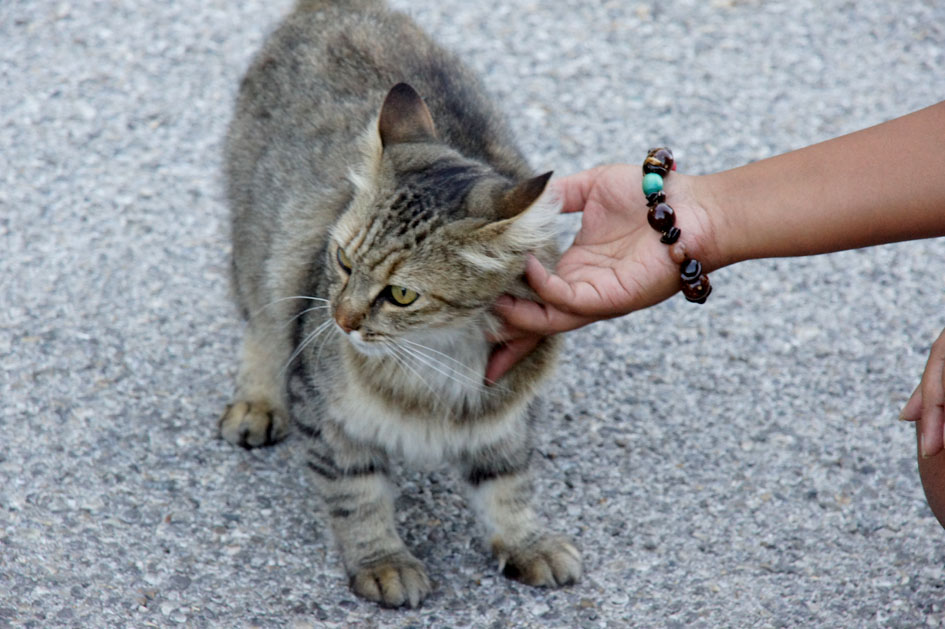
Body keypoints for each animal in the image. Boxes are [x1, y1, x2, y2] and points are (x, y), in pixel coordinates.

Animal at [219, 1, 584, 608]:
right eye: (342, 261)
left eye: (402, 294)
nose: (341, 319)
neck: (436, 365)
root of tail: (334, 8)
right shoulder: (327, 416)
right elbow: (358, 497)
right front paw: (383, 561)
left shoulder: (509, 415)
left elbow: (509, 485)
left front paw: (525, 541)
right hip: (259, 252)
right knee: (261, 329)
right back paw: (256, 403)